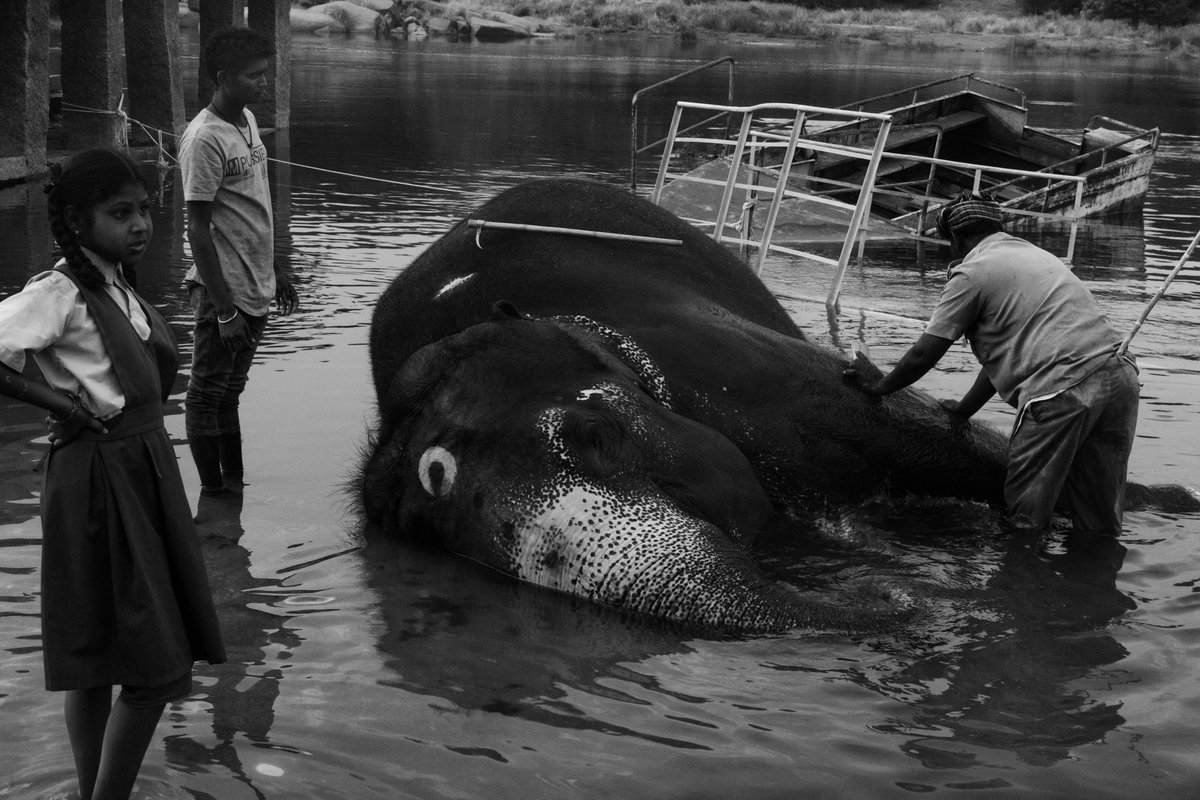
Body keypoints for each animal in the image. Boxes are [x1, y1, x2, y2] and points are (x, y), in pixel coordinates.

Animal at [361, 178, 1192, 633]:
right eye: (430, 534)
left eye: (595, 433)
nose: (897, 595)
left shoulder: (735, 369)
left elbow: (917, 426)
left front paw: (1172, 499)